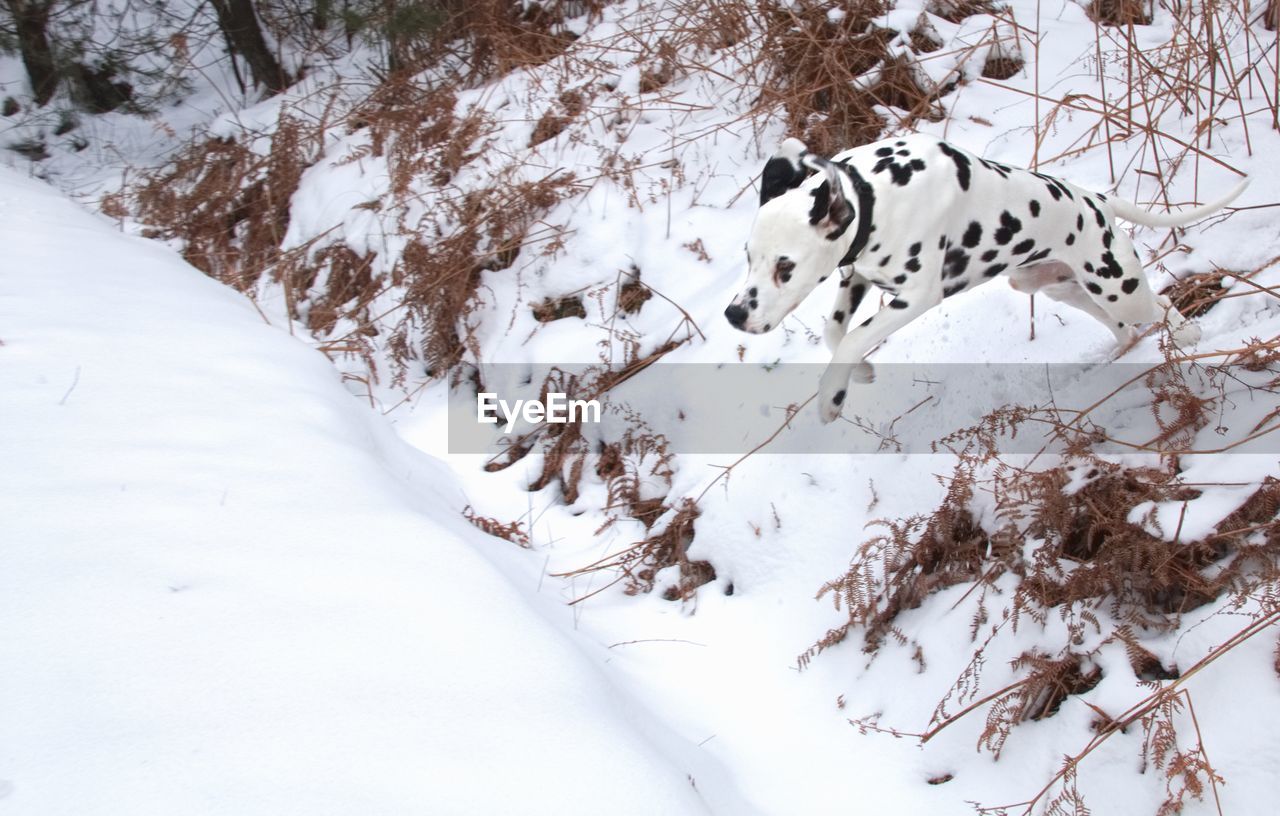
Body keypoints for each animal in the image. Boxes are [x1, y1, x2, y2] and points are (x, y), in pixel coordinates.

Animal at [727, 134, 1244, 424]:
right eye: (748, 257)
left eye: (785, 267)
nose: (734, 315)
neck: (875, 192)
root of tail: (1099, 201)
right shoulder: (858, 276)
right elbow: (837, 332)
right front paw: (861, 372)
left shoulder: (918, 296)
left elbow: (853, 338)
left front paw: (831, 396)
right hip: (1050, 285)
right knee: (1117, 324)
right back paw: (1121, 351)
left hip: (1119, 286)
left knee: (1159, 304)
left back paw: (1188, 333)